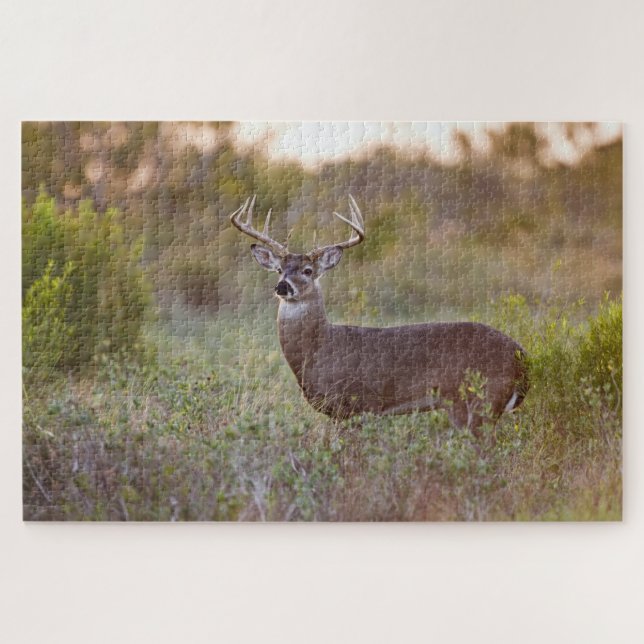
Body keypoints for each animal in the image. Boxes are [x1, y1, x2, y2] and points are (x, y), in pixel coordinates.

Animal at [230, 195, 528, 432]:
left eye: (307, 270)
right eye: (280, 269)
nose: (282, 286)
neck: (319, 349)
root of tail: (522, 356)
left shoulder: (354, 405)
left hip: (479, 401)